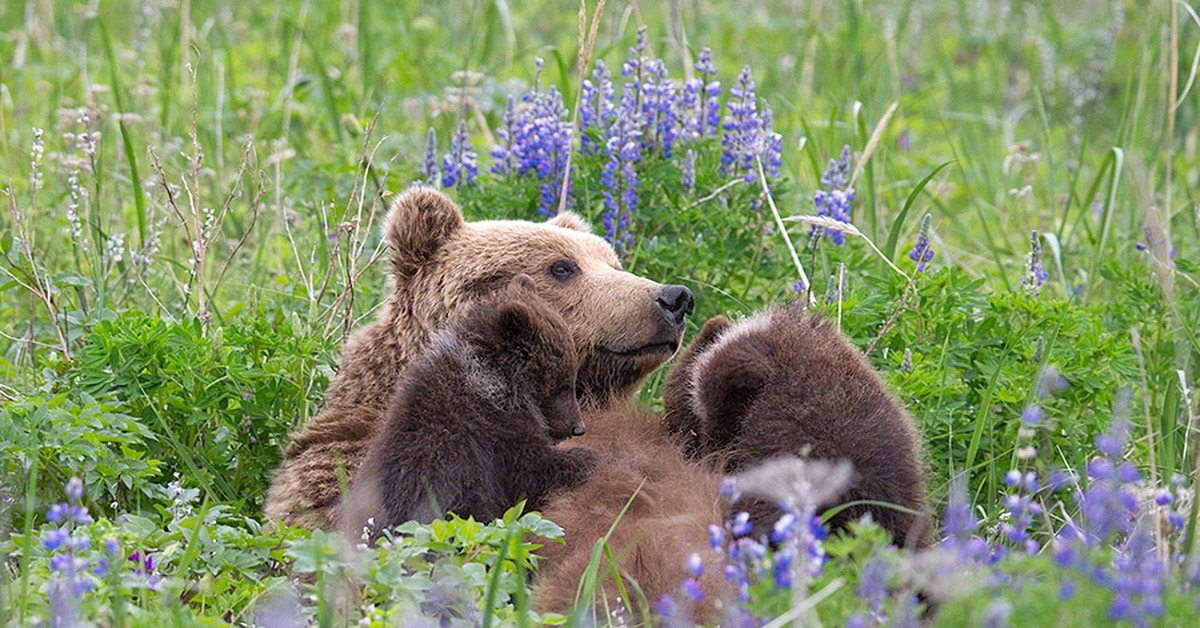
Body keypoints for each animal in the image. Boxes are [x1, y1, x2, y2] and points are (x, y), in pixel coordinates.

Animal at [340, 276, 597, 540]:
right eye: (564, 383)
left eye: (570, 377)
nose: (578, 428)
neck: (492, 383)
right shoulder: (489, 437)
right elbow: (533, 470)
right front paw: (587, 457)